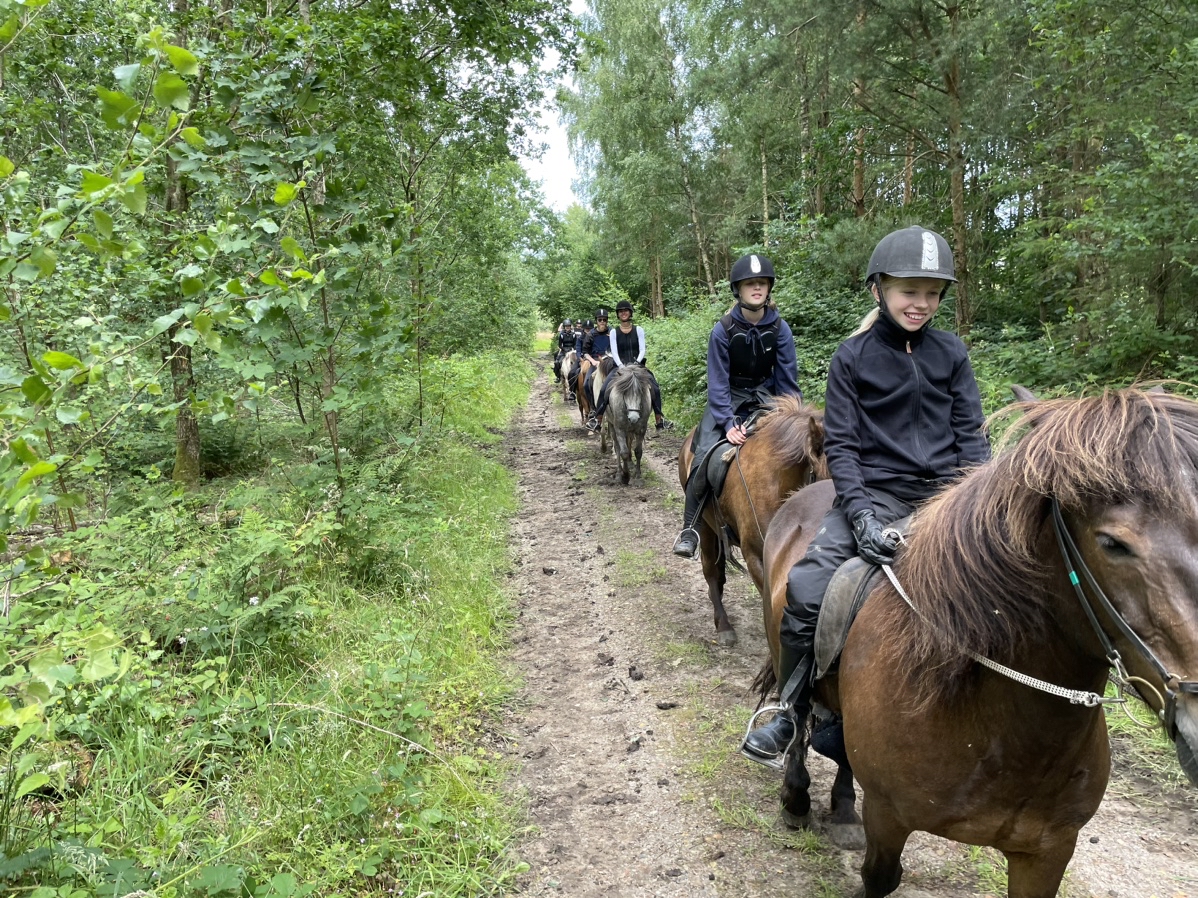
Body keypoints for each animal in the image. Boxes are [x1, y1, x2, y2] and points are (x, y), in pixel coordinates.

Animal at [761, 390, 1198, 898]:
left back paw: (844, 809)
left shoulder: (1047, 853)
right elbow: (880, 878)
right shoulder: (888, 820)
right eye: (1113, 543)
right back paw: (795, 797)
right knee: (797, 716)